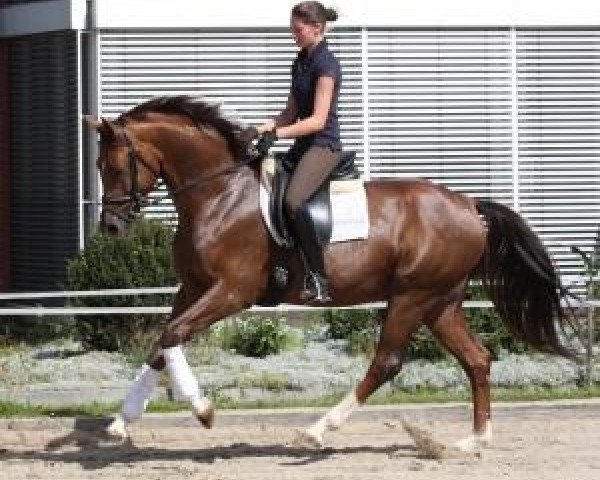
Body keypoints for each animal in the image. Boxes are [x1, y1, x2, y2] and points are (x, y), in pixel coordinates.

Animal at [83, 96, 572, 450]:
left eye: (115, 166)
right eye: (99, 168)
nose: (110, 227)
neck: (218, 194)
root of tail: (469, 206)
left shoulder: (232, 291)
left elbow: (172, 336)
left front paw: (202, 409)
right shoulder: (193, 287)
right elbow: (162, 342)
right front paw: (121, 421)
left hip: (412, 297)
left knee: (387, 362)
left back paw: (317, 430)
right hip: (441, 302)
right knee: (476, 359)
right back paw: (474, 440)